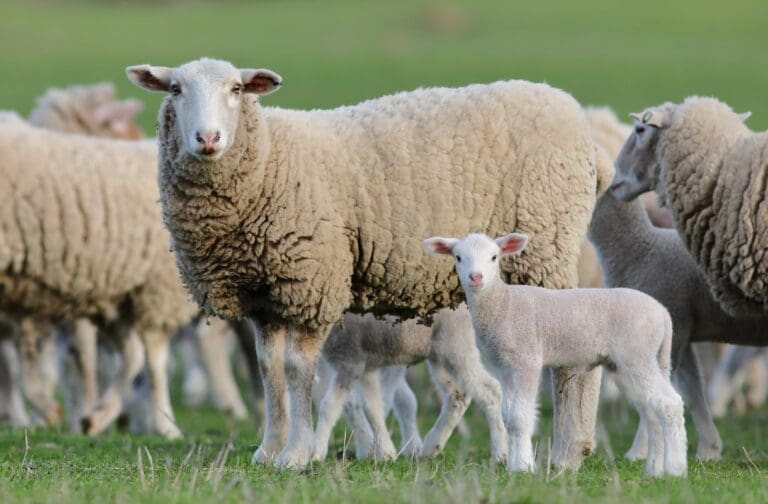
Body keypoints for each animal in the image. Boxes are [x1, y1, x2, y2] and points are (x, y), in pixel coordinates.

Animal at [314, 307, 506, 463]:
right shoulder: (365, 368)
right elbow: (372, 407)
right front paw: (384, 452)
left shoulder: (350, 361)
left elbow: (329, 406)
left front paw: (317, 452)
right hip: (439, 356)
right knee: (457, 395)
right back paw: (430, 447)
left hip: (456, 345)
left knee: (491, 390)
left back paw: (500, 454)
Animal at [424, 232, 687, 477]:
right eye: (458, 257)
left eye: (494, 257)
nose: (476, 277)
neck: (503, 303)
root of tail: (663, 313)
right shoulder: (504, 369)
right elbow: (508, 417)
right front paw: (512, 465)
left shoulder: (527, 360)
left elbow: (520, 417)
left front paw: (524, 467)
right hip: (642, 361)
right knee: (652, 410)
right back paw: (654, 469)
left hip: (637, 354)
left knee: (670, 404)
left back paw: (675, 469)